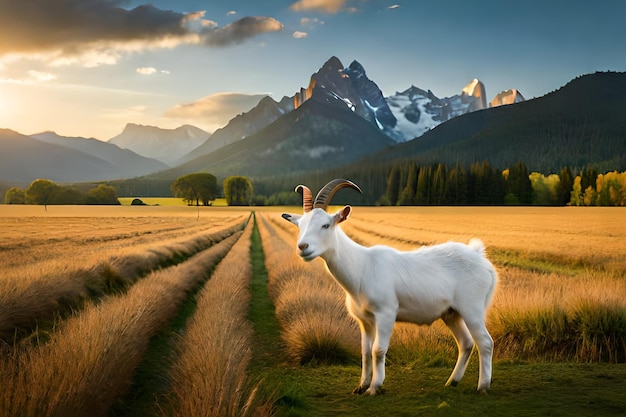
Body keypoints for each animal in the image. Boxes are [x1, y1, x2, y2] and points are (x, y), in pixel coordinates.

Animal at [280, 178, 494, 394]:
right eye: (300, 225)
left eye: (325, 225)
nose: (303, 247)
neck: (362, 266)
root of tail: (481, 258)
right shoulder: (365, 320)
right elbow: (366, 352)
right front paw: (361, 386)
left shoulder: (386, 313)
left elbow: (378, 349)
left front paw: (374, 387)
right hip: (451, 313)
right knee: (466, 342)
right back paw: (452, 381)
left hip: (472, 308)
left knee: (485, 342)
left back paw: (483, 386)